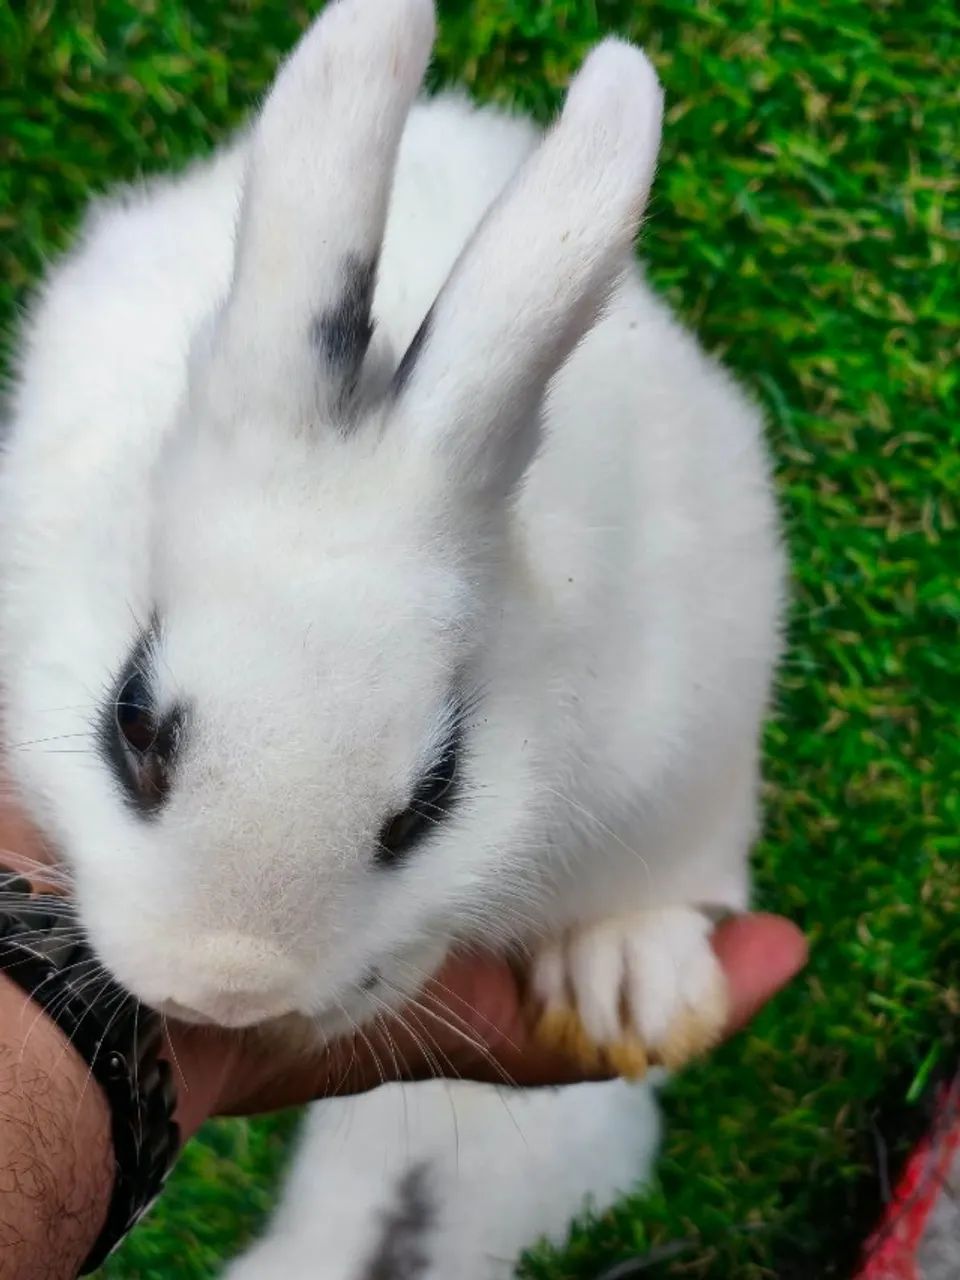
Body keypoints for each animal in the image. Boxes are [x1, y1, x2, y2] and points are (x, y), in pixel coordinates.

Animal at [0, 0, 784, 1275]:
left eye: (432, 796)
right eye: (132, 721)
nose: (227, 987)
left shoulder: (684, 729)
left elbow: (675, 871)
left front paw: (628, 983)